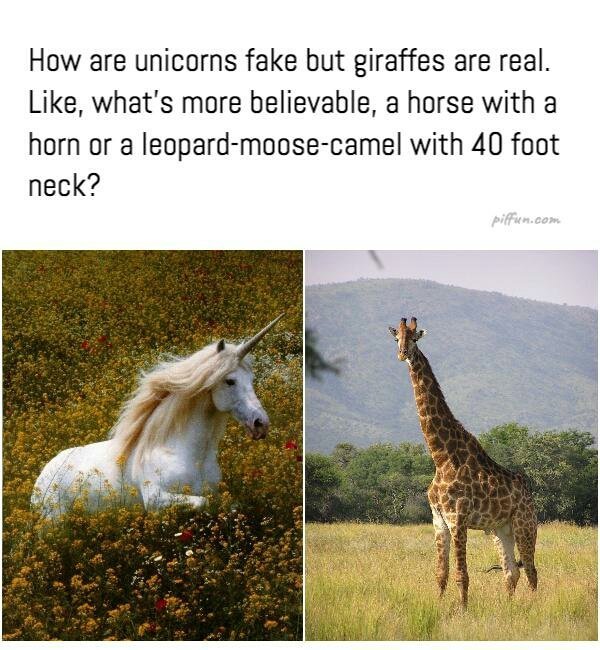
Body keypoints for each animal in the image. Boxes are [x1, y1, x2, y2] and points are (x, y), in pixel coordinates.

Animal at [388, 317, 538, 607]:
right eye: (396, 338)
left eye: (414, 338)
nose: (402, 354)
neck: (440, 457)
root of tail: (530, 495)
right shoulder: (438, 520)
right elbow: (441, 573)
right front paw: (438, 606)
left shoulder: (458, 517)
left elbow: (461, 574)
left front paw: (462, 610)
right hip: (500, 529)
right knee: (511, 571)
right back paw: (509, 608)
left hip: (525, 525)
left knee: (532, 571)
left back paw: (533, 608)